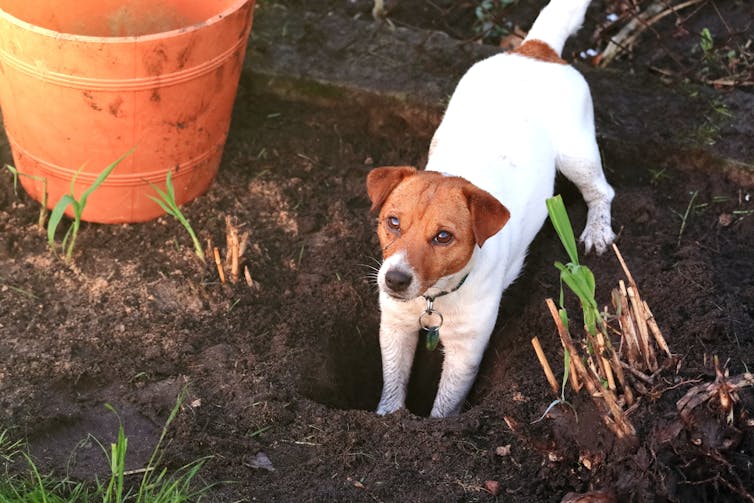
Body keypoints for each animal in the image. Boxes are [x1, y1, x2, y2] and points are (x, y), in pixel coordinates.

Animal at [366, 0, 616, 420]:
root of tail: (535, 48)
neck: (434, 299)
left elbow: (446, 405)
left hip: (576, 153)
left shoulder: (466, 352)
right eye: (393, 222)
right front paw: (389, 417)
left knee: (602, 190)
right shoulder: (395, 327)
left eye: (444, 236)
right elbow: (392, 382)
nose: (395, 280)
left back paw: (598, 229)